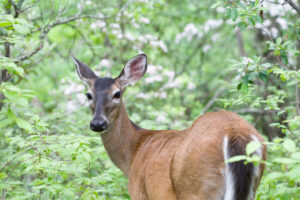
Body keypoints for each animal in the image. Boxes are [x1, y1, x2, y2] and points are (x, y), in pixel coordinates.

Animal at [73, 53, 268, 200]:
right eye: (88, 95)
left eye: (117, 94)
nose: (98, 123)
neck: (134, 153)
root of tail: (235, 134)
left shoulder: (139, 193)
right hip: (252, 185)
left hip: (197, 187)